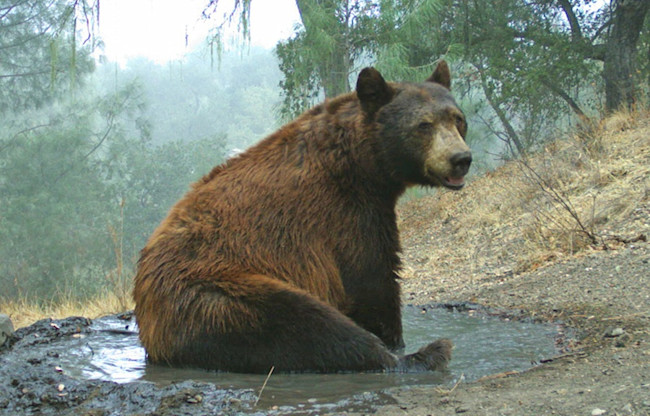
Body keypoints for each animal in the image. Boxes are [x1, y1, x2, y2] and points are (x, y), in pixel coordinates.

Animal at [133, 61, 466, 374]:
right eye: (423, 125)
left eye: (457, 118)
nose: (461, 159)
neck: (363, 166)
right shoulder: (346, 213)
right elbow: (373, 279)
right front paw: (394, 339)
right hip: (217, 297)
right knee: (308, 324)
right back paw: (424, 354)